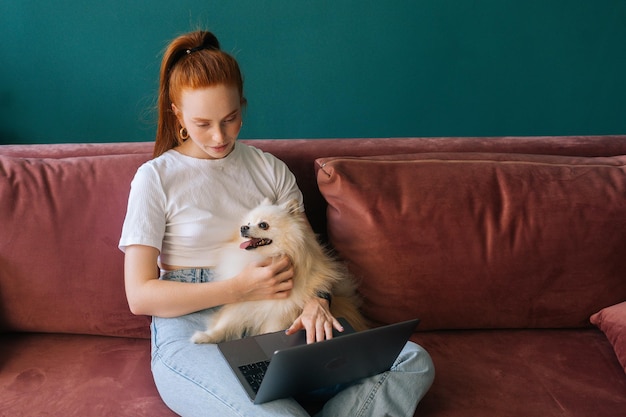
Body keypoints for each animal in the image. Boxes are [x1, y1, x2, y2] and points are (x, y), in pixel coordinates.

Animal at [190, 200, 366, 342]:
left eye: (263, 225)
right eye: (248, 222)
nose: (243, 227)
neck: (263, 258)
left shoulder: (278, 317)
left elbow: (270, 333)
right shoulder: (242, 303)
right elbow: (224, 324)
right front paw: (205, 337)